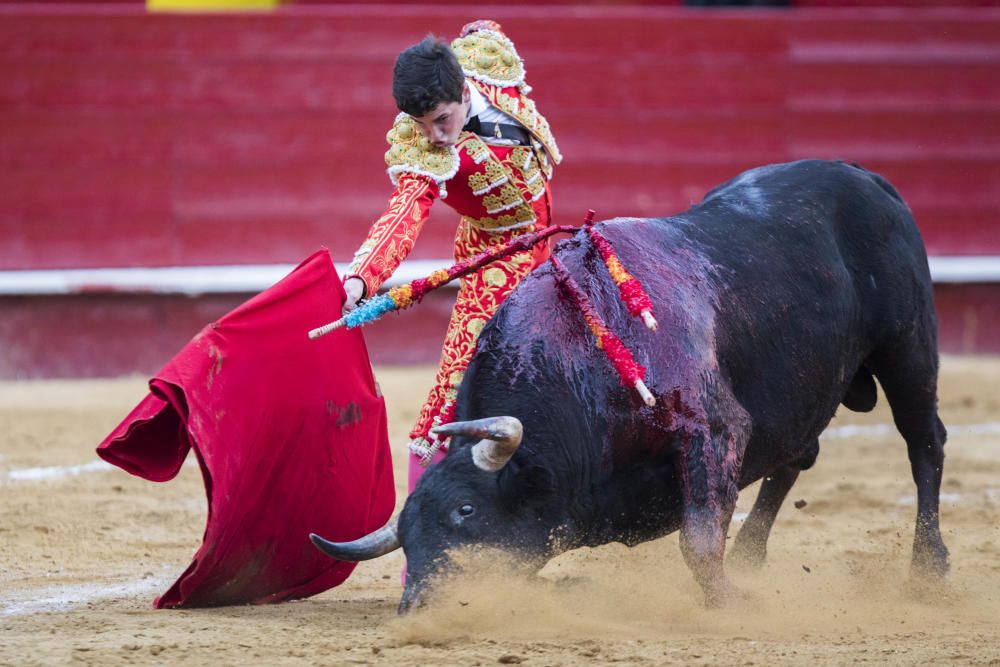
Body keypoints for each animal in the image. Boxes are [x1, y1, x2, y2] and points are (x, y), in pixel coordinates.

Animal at [310, 160, 944, 612]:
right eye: (408, 531)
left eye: (466, 509)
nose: (417, 608)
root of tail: (867, 178)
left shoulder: (714, 429)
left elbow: (698, 537)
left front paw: (729, 603)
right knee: (796, 456)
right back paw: (751, 558)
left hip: (908, 347)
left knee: (924, 441)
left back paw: (927, 570)